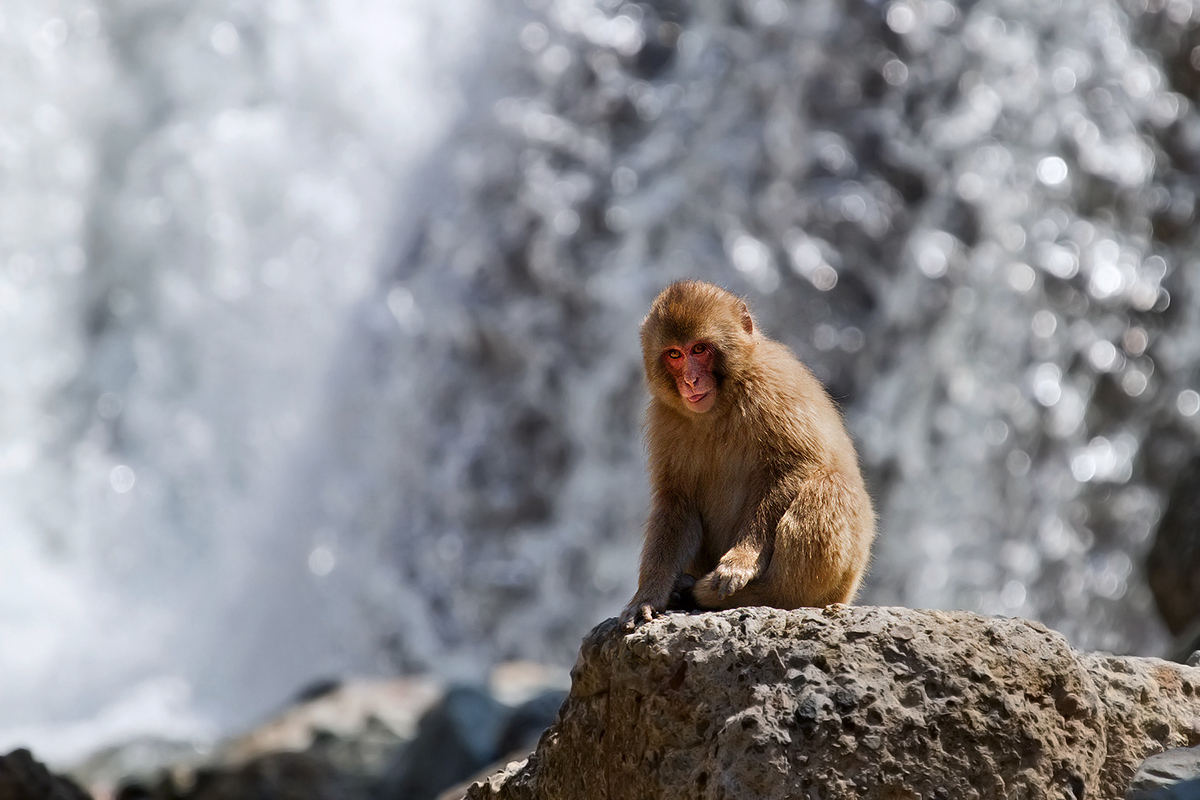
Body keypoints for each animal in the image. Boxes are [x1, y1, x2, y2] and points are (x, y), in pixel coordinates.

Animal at [618, 280, 876, 630]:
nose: (690, 381)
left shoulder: (773, 386)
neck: (720, 406)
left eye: (699, 349)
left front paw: (741, 560)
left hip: (841, 582)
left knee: (830, 482)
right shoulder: (665, 419)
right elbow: (677, 502)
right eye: (674, 354)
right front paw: (648, 595)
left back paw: (767, 595)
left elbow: (794, 466)